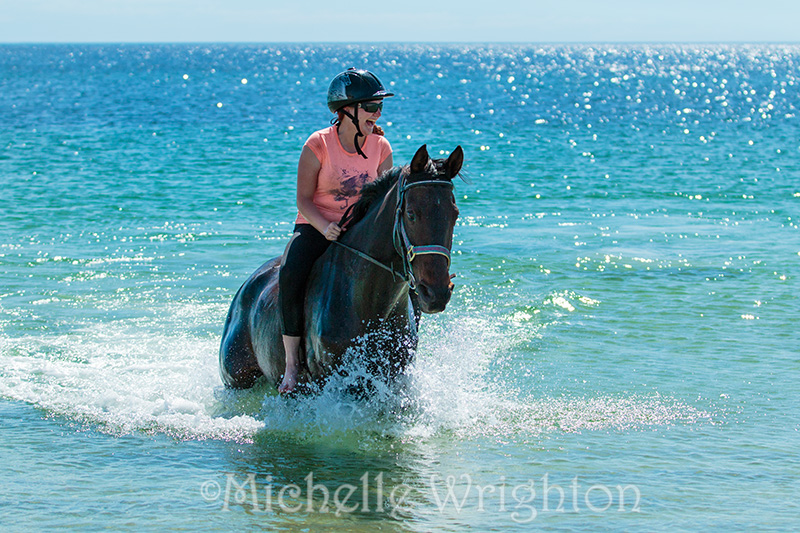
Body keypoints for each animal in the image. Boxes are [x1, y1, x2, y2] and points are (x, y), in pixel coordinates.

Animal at [217, 144, 462, 390]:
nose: (436, 294)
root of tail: (245, 286)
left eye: (455, 215)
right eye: (411, 214)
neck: (368, 301)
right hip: (238, 379)